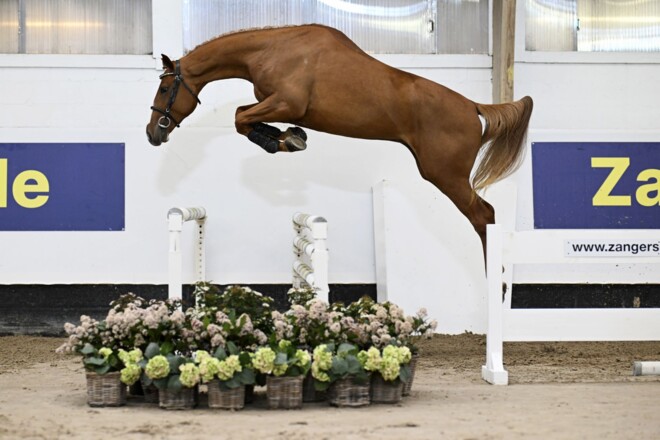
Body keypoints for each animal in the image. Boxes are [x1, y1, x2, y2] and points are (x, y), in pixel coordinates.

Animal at [146, 24, 533, 261]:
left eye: (164, 88)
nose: (153, 133)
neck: (272, 48)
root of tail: (473, 107)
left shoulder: (287, 102)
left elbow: (240, 118)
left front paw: (283, 141)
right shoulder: (277, 104)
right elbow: (244, 116)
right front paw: (289, 137)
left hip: (445, 176)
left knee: (485, 216)